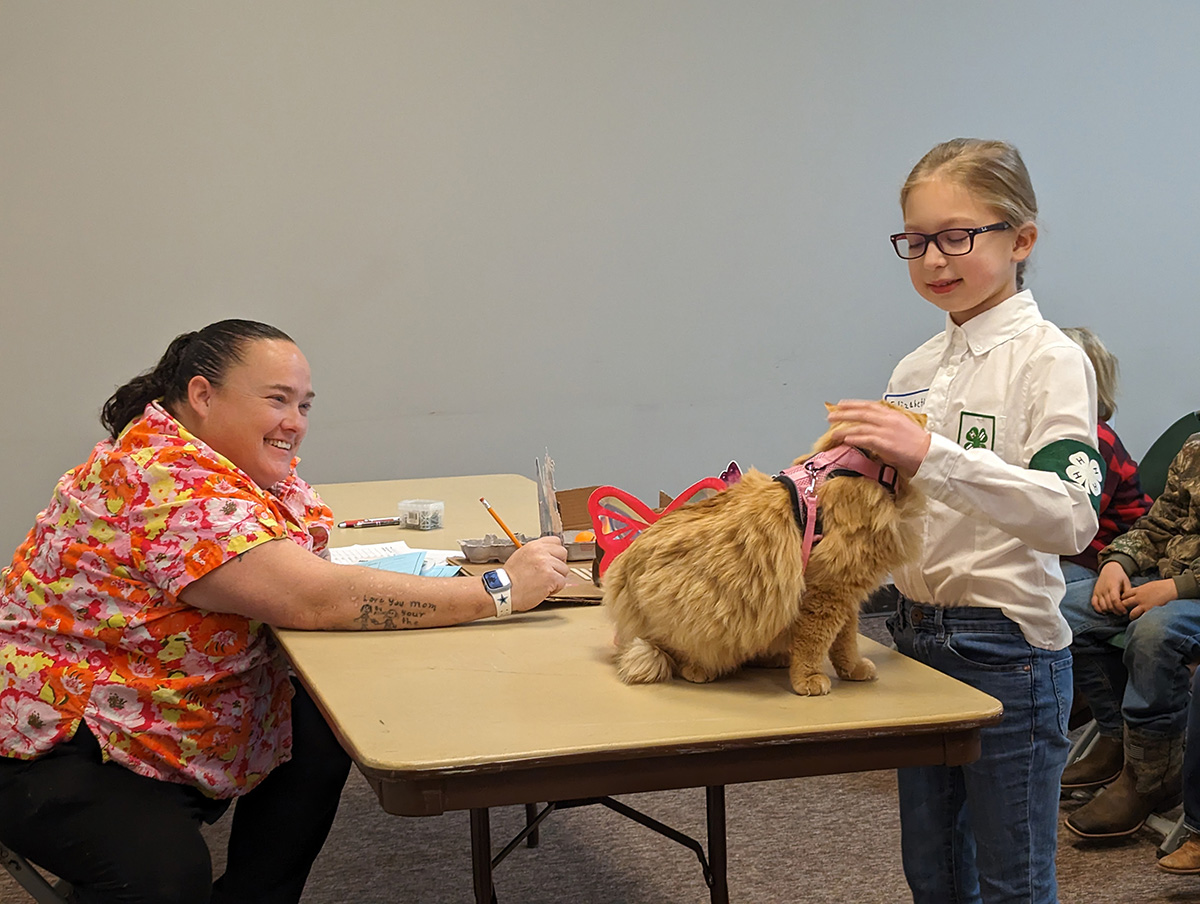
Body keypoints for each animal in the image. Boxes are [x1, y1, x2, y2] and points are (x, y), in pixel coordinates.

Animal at [604, 403, 921, 696]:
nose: (923, 420)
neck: (854, 467)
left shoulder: (845, 595)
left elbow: (845, 641)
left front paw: (852, 669)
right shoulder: (827, 591)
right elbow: (815, 642)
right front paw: (808, 678)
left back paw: (774, 658)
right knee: (668, 653)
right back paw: (699, 669)